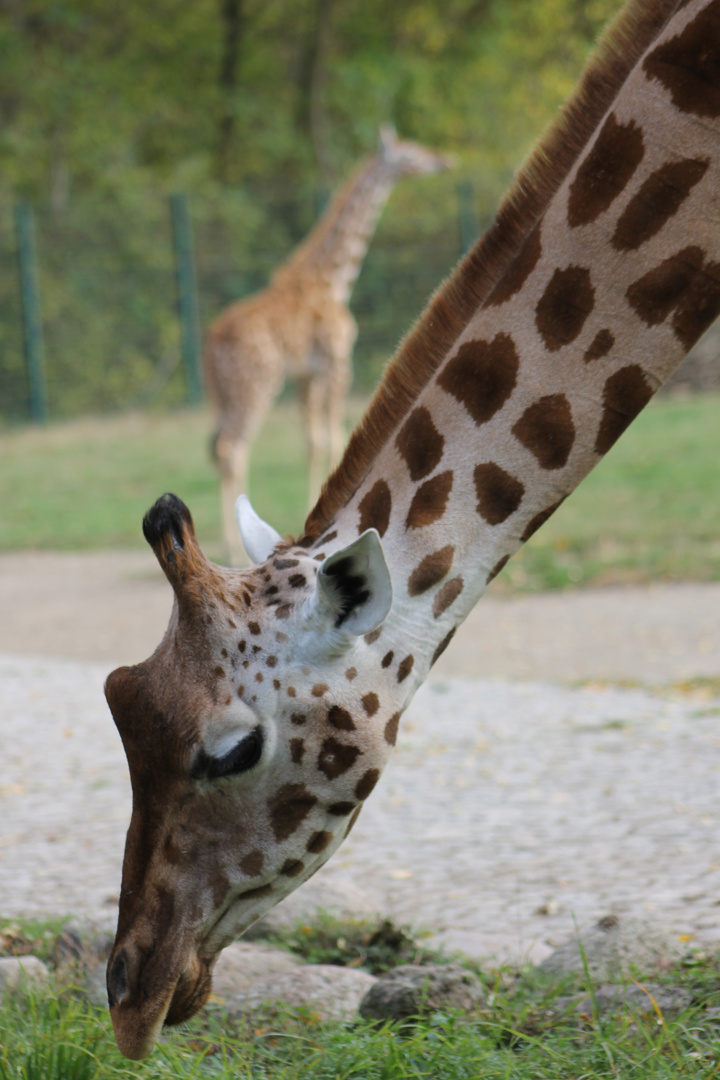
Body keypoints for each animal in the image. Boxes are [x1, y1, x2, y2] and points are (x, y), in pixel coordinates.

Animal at [202, 126, 451, 561]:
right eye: (410, 154)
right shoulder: (338, 361)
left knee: (218, 448)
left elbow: (313, 442)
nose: (443, 160)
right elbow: (336, 439)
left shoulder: (307, 374)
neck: (334, 278)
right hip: (256, 386)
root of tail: (211, 344)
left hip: (222, 395)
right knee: (233, 447)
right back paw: (232, 551)